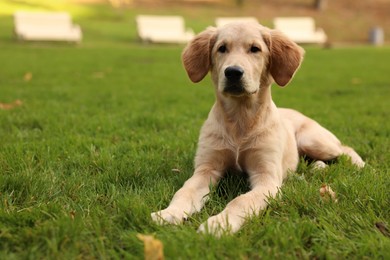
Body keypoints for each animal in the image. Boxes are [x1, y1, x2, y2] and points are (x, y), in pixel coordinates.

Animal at [151, 21, 364, 236]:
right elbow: (185, 191)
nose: (233, 72)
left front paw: (219, 224)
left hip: (312, 140)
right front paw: (169, 213)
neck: (240, 120)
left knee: (344, 148)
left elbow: (241, 201)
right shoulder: (206, 169)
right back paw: (317, 167)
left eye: (255, 49)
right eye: (222, 48)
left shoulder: (266, 178)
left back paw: (359, 164)